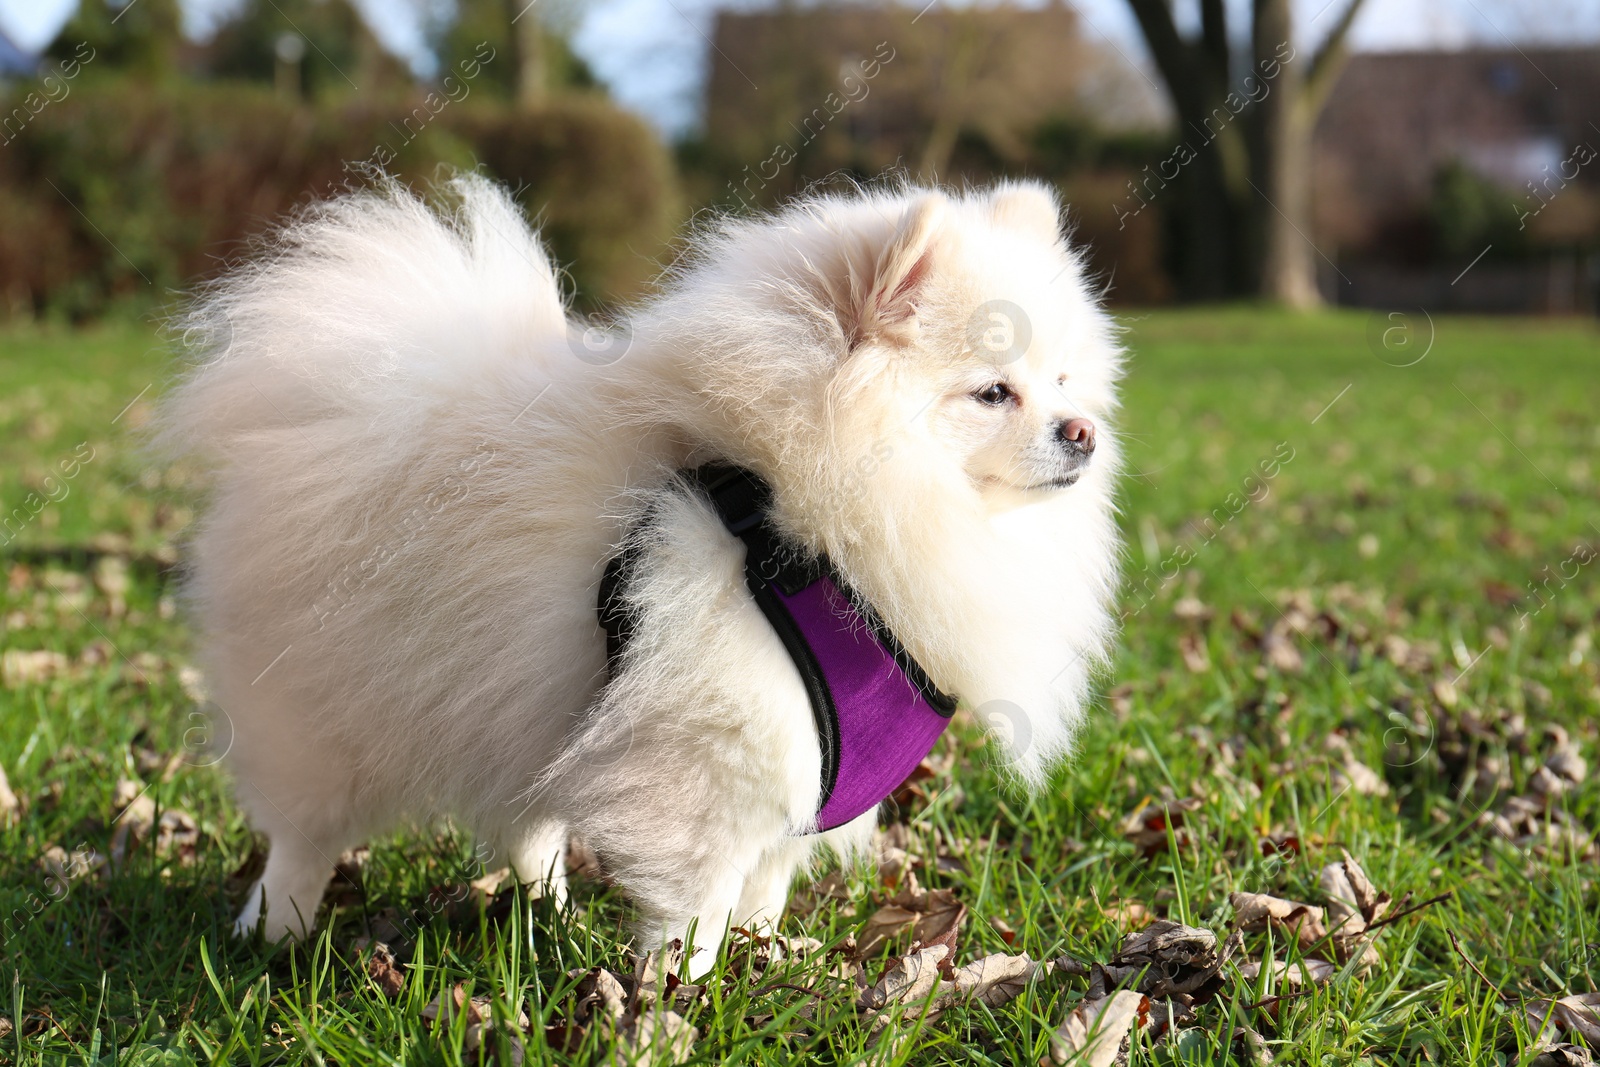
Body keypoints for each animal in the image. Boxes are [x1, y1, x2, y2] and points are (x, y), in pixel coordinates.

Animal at [156, 175, 1120, 979]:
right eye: (992, 392)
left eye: (1063, 379)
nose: (1082, 431)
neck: (788, 508)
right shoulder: (709, 762)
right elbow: (695, 906)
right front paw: (676, 998)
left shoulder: (799, 780)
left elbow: (762, 890)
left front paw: (762, 961)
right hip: (326, 713)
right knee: (303, 835)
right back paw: (273, 933)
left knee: (527, 823)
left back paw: (548, 908)